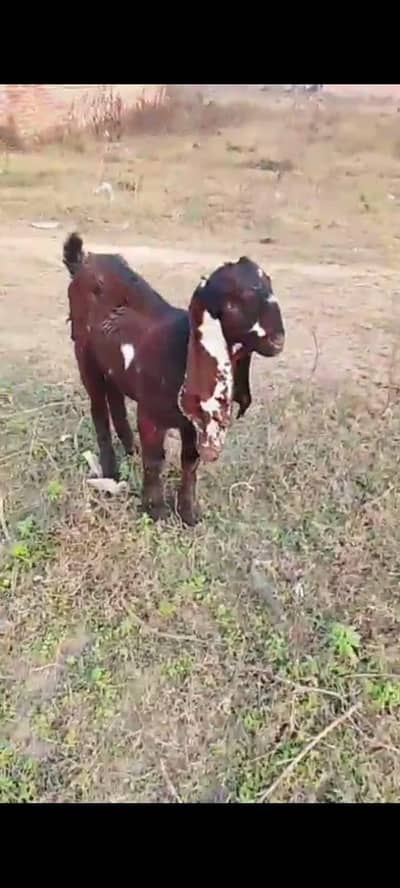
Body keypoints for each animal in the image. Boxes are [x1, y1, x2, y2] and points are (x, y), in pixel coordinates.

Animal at [63, 233, 285, 525]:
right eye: (236, 301)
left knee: (116, 400)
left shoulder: (193, 421)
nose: (278, 340)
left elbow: (190, 461)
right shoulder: (150, 414)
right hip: (84, 355)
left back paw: (130, 449)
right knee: (98, 410)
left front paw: (189, 513)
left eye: (270, 285)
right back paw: (111, 470)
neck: (181, 348)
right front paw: (155, 509)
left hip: (111, 366)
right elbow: (155, 459)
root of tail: (83, 262)